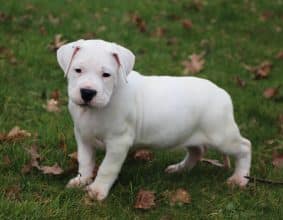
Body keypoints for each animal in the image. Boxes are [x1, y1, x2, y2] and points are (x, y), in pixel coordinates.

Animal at [56, 38, 252, 200]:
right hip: (190, 133)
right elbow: (85, 161)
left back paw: (239, 178)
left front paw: (97, 190)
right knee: (197, 151)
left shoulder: (118, 143)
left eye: (106, 75)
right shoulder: (83, 136)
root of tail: (222, 93)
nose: (87, 93)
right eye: (78, 70)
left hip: (222, 135)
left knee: (245, 146)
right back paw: (179, 169)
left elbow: (106, 168)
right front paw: (81, 180)